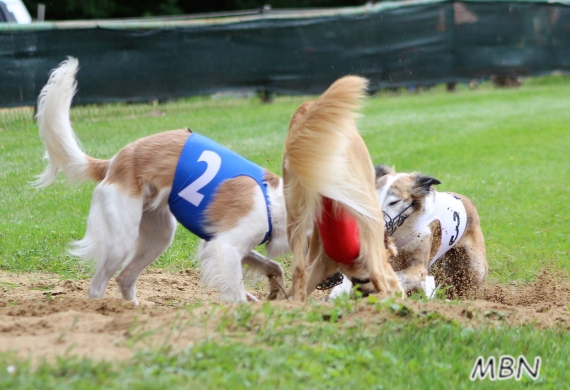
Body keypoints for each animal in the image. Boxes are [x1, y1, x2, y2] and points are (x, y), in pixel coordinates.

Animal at [32, 56, 286, 304]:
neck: (274, 201)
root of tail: (115, 161)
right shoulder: (226, 246)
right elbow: (237, 293)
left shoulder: (218, 242)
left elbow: (274, 267)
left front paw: (273, 289)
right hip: (121, 240)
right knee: (97, 286)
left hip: (158, 236)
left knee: (125, 277)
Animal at [282, 75, 402, 302]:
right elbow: (390, 283)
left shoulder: (321, 262)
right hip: (369, 208)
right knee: (378, 275)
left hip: (294, 211)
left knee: (299, 269)